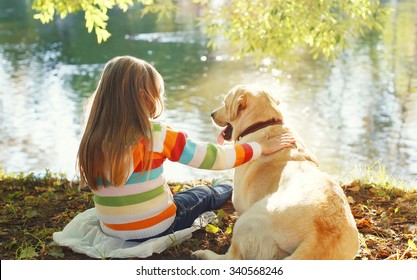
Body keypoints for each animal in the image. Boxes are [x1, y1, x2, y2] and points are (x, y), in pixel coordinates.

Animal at [192, 84, 358, 260]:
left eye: (225, 103)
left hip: (248, 219)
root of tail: (321, 237)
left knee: (232, 257)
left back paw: (204, 253)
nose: (212, 114)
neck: (264, 123)